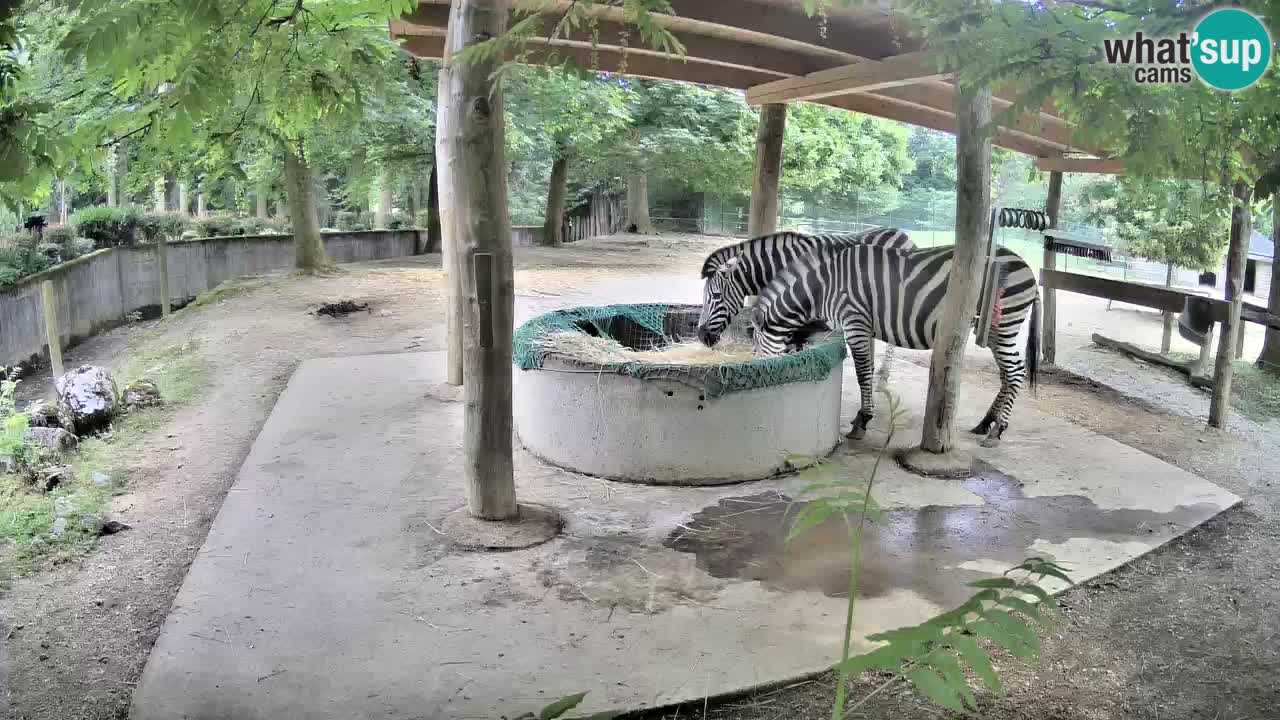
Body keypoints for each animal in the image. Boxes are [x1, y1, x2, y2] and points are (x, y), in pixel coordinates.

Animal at [750, 243, 1040, 448]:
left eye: (756, 347)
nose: (761, 372)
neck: (822, 288)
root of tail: (1028, 267)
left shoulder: (854, 321)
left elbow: (863, 373)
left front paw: (862, 422)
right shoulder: (862, 326)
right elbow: (867, 370)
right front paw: (861, 416)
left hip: (1004, 325)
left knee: (1016, 372)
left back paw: (997, 429)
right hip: (993, 332)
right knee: (1006, 375)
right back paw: (986, 423)